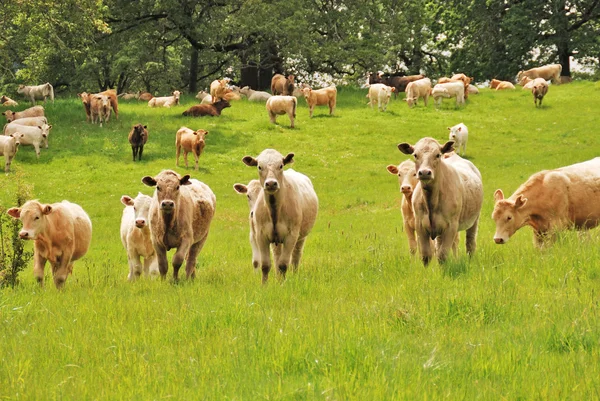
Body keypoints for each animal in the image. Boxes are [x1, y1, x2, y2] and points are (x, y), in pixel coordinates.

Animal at [243, 148, 322, 282]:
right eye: (259, 166)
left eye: (280, 166)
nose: (270, 183)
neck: (274, 210)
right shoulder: (260, 235)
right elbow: (265, 265)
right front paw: (265, 285)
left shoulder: (291, 235)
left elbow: (284, 264)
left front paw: (282, 284)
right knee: (277, 256)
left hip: (301, 237)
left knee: (295, 257)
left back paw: (294, 275)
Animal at [398, 138, 482, 266]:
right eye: (415, 155)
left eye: (438, 155)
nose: (424, 172)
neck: (431, 201)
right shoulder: (420, 226)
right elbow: (426, 255)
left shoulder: (451, 227)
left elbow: (443, 255)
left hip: (474, 220)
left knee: (470, 244)